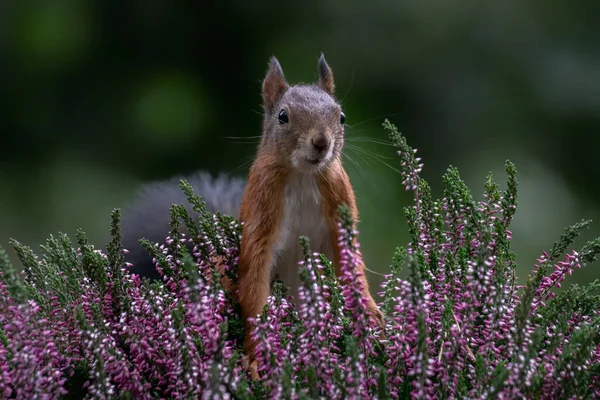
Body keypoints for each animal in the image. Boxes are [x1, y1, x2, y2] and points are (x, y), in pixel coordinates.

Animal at [119, 54, 384, 376]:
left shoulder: (339, 206)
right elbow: (255, 276)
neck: (303, 176)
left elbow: (351, 264)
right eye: (283, 116)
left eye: (341, 117)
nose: (321, 143)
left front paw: (369, 314)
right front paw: (257, 355)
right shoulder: (263, 208)